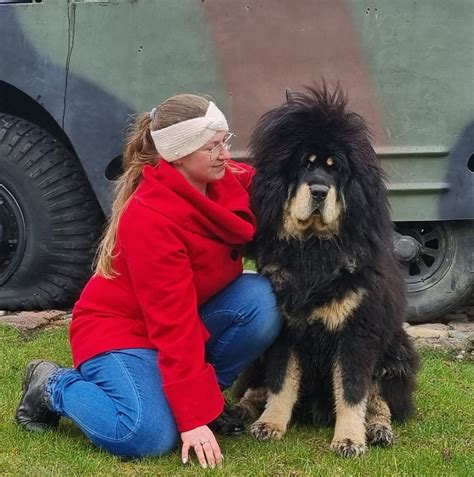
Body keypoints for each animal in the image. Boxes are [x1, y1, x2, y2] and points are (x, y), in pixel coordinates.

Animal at [234, 85, 418, 458]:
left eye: (335, 170)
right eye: (305, 165)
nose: (319, 190)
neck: (315, 250)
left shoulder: (357, 334)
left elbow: (352, 391)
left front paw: (349, 439)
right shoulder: (285, 331)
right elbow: (280, 382)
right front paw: (270, 423)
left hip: (396, 350)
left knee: (380, 399)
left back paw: (378, 429)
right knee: (253, 387)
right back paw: (241, 411)